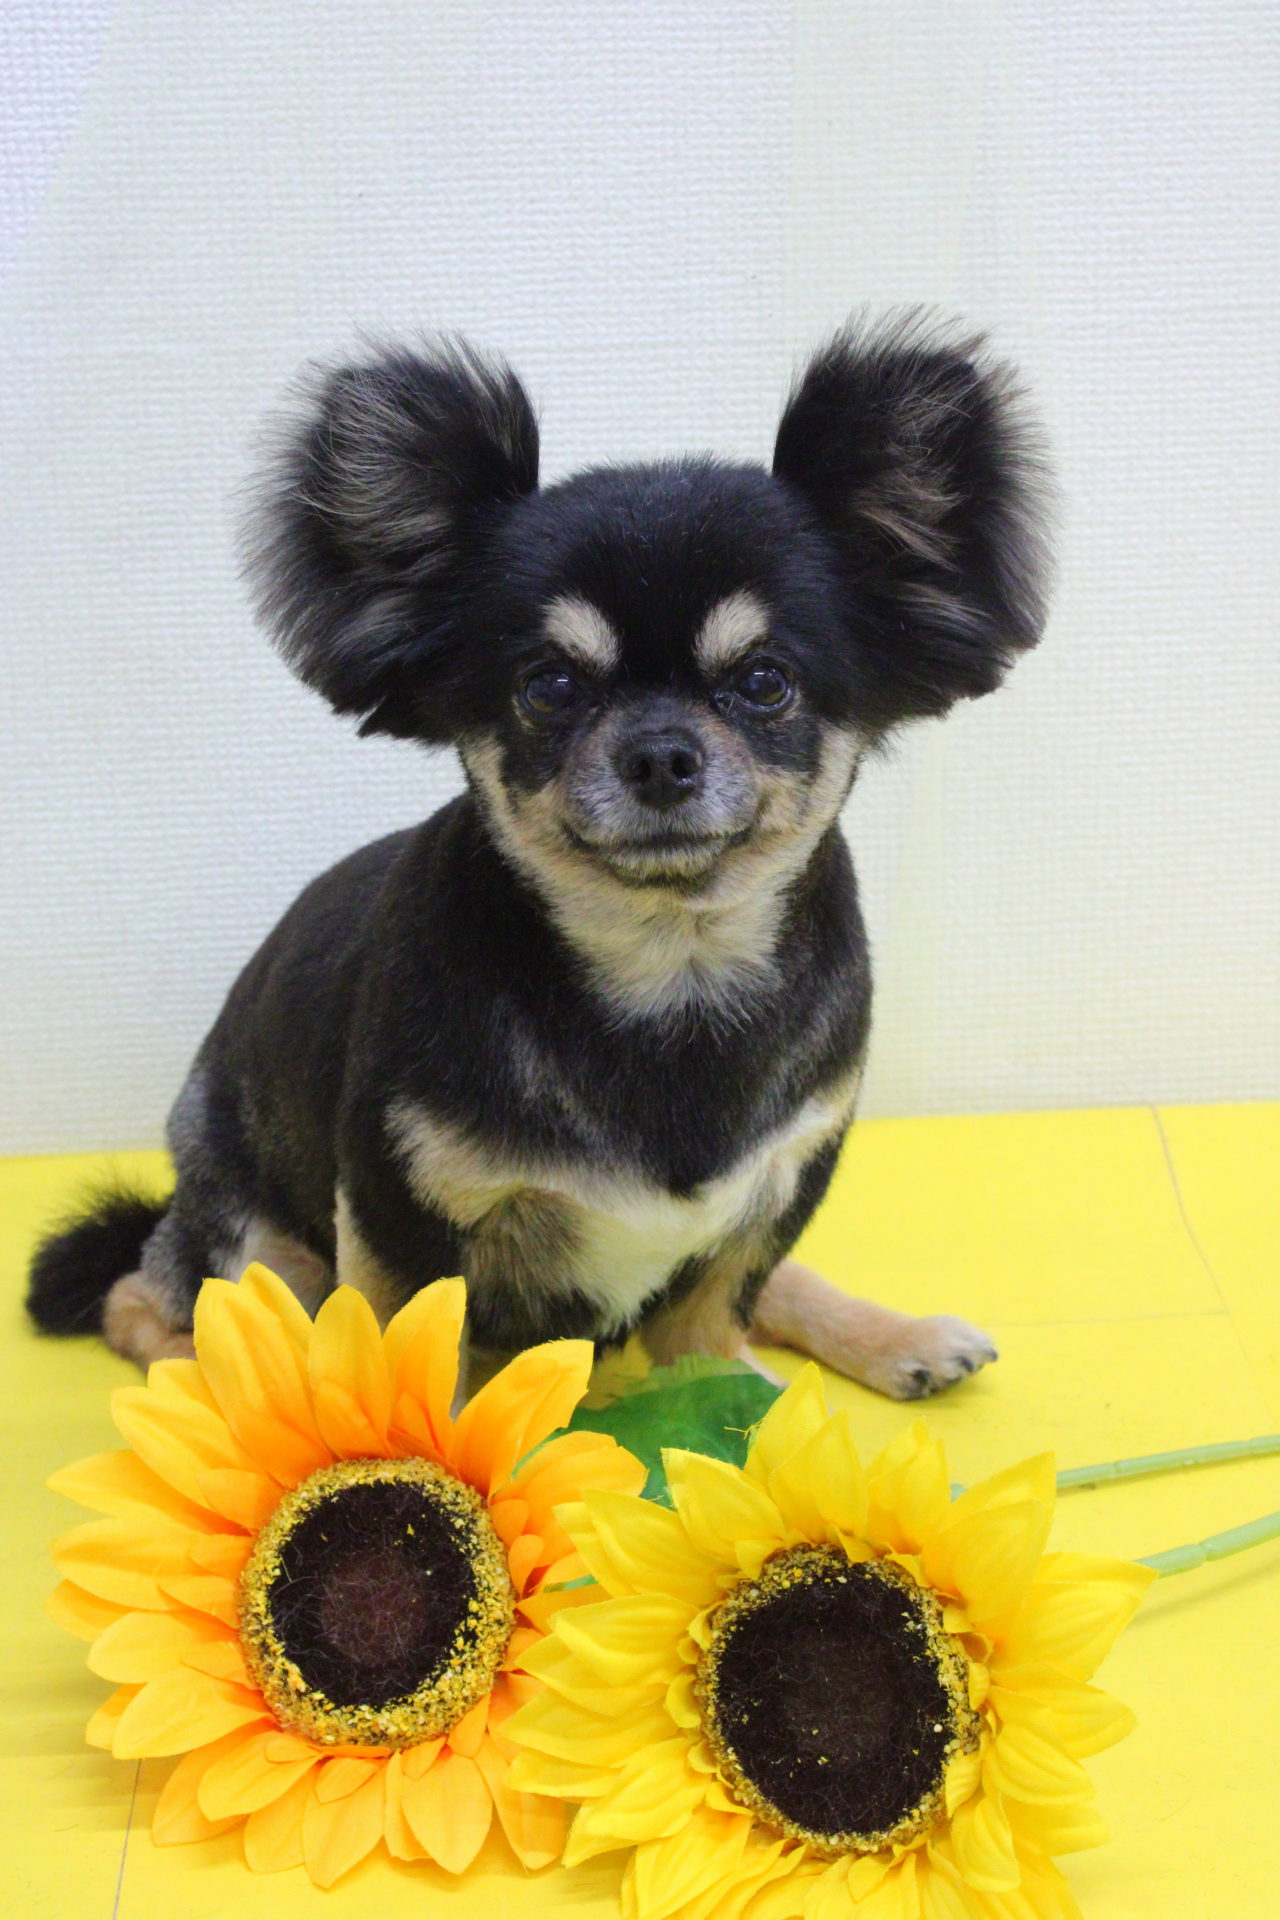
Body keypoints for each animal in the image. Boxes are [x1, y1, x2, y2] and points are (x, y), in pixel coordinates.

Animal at [28, 313, 1050, 1399]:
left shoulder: (777, 1189)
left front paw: (746, 1412)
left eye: (765, 682)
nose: (659, 752)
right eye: (549, 686)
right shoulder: (397, 1214)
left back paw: (904, 1339)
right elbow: (417, 1370)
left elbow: (712, 1329)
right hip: (253, 1235)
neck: (670, 974)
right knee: (156, 1303)